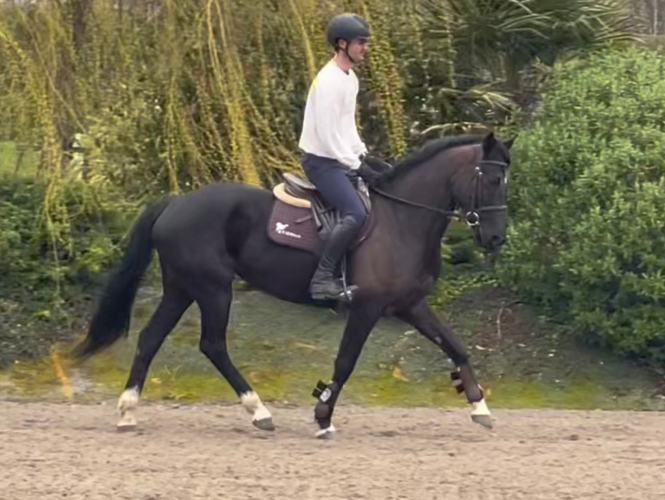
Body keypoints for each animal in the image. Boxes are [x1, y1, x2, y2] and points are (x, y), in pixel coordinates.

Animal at [72, 131, 513, 438]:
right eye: (492, 179)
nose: (496, 238)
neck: (403, 220)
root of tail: (176, 203)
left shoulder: (411, 305)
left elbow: (455, 346)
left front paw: (480, 408)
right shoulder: (367, 308)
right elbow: (345, 362)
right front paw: (323, 417)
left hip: (182, 289)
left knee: (150, 338)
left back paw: (128, 412)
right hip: (213, 289)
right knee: (212, 345)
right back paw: (259, 412)